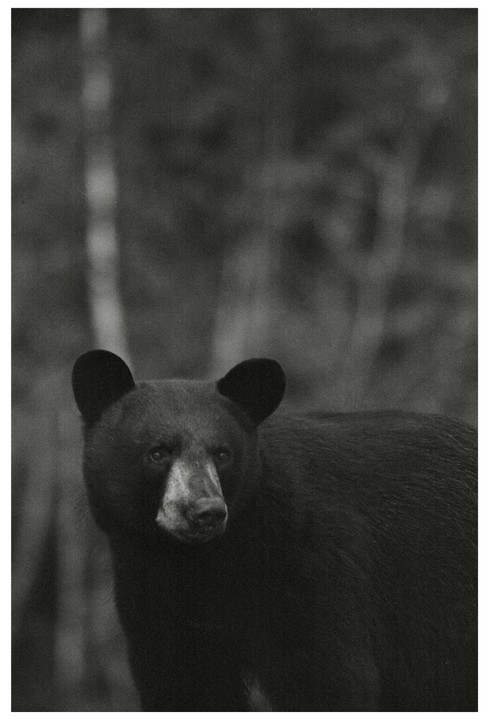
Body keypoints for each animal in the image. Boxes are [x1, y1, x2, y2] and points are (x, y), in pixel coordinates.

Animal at [72, 349, 477, 711]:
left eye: (222, 453)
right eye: (158, 452)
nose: (206, 512)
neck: (204, 559)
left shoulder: (311, 564)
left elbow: (326, 676)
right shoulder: (151, 586)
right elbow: (187, 683)